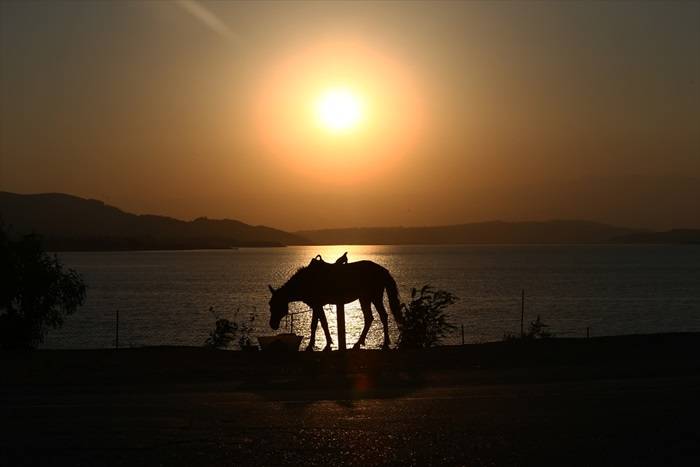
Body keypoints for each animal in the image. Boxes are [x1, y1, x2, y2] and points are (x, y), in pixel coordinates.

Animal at [266, 260, 402, 352]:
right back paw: (359, 343)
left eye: (276, 304)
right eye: (270, 304)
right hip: (364, 298)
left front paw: (319, 345)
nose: (272, 325)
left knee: (382, 316)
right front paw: (320, 344)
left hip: (374, 297)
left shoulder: (317, 305)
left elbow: (320, 324)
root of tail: (383, 270)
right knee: (369, 318)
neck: (306, 280)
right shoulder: (316, 306)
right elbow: (319, 323)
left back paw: (384, 343)